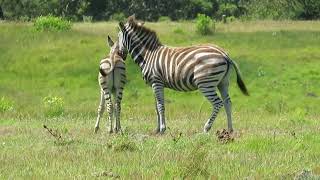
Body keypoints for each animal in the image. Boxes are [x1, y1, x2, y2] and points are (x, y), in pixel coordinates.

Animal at [116, 15, 249, 134]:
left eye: (118, 37)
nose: (119, 54)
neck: (148, 55)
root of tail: (224, 54)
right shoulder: (154, 84)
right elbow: (156, 107)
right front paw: (157, 130)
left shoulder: (156, 82)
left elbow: (160, 105)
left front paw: (162, 129)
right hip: (223, 82)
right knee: (227, 103)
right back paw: (229, 129)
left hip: (205, 83)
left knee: (218, 103)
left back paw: (206, 128)